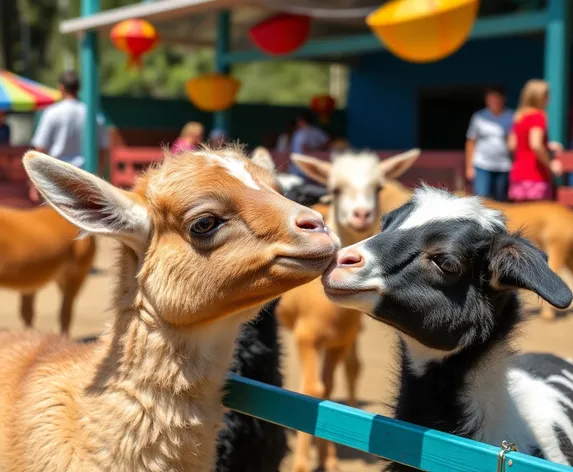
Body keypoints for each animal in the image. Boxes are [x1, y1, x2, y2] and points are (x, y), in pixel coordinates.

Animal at [274, 149, 418, 472]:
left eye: (378, 188)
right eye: (336, 189)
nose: (361, 215)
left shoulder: (338, 340)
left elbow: (326, 391)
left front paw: (329, 459)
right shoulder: (305, 336)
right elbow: (311, 390)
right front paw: (303, 463)